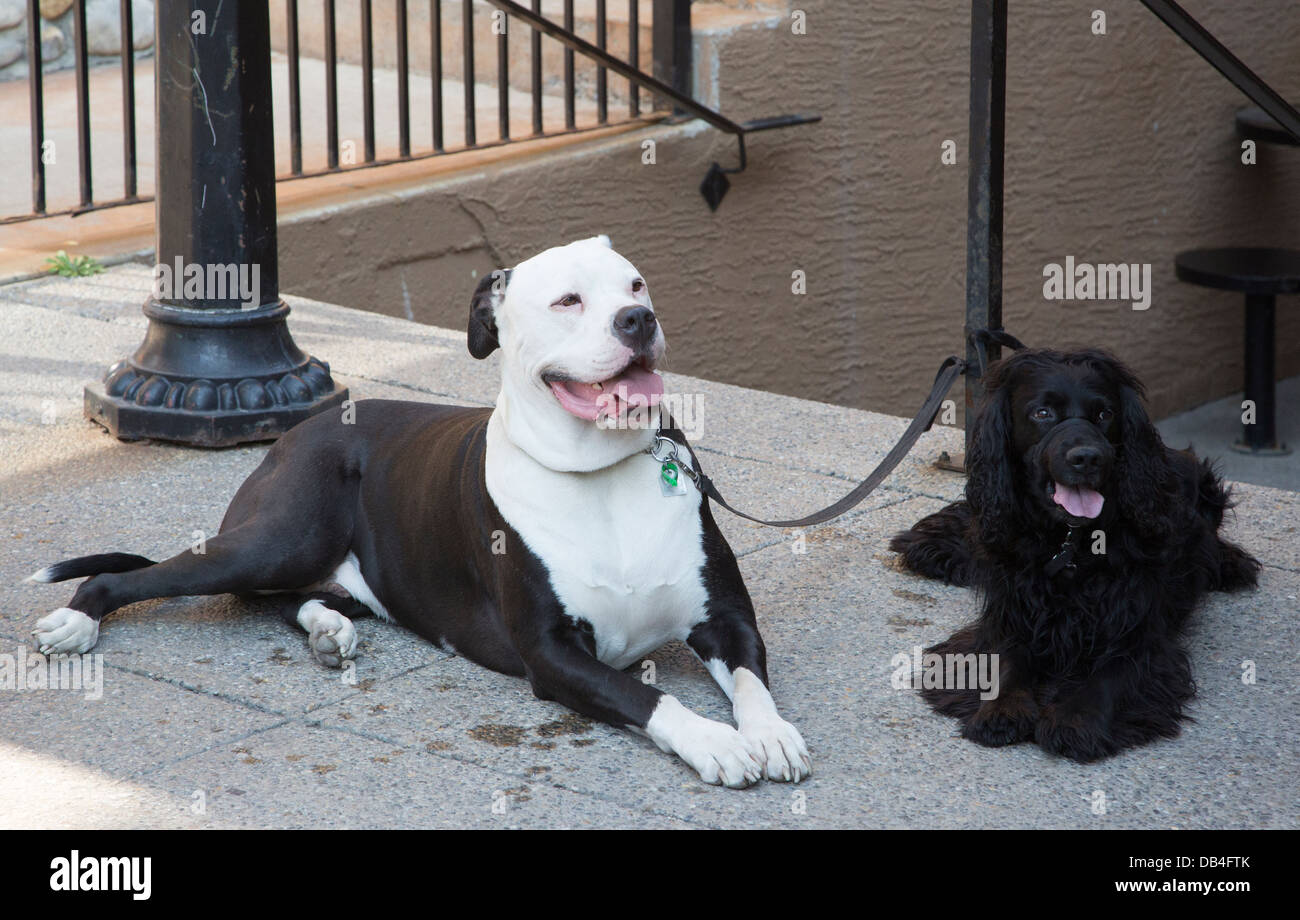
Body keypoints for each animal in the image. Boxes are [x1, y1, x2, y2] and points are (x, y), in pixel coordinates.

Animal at [30, 233, 806, 784]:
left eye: (635, 284)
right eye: (568, 301)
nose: (638, 318)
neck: (603, 469)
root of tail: (306, 428)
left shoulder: (725, 619)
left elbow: (751, 679)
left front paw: (766, 734)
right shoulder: (552, 654)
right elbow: (649, 699)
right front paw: (713, 742)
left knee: (284, 600)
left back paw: (328, 630)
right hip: (277, 538)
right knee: (145, 577)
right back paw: (76, 621)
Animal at [894, 345, 1258, 764]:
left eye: (1105, 414)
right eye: (1042, 413)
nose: (1087, 458)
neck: (1069, 541)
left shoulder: (1139, 632)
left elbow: (1110, 674)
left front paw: (1074, 721)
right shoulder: (1010, 617)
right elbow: (1005, 662)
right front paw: (1001, 709)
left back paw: (1230, 563)